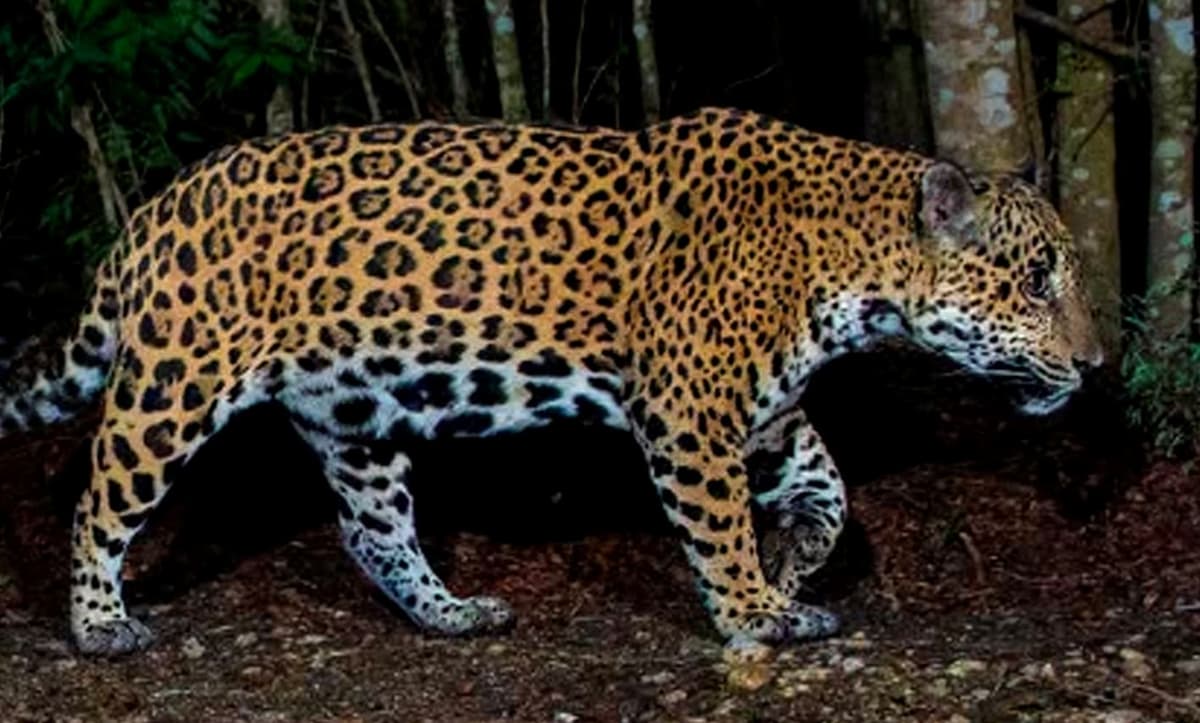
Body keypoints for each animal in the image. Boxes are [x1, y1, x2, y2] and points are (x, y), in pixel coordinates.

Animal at [0, 107, 1101, 656]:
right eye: (1036, 280)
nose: (1094, 367)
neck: (852, 266)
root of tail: (153, 210)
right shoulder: (690, 408)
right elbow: (718, 525)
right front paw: (758, 611)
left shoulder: (764, 407)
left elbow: (831, 488)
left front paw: (795, 558)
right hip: (174, 385)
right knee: (98, 502)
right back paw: (99, 625)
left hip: (354, 413)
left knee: (373, 531)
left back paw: (451, 613)